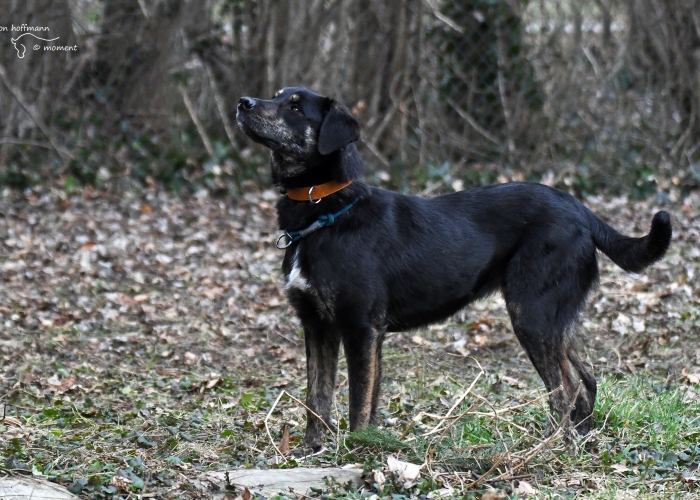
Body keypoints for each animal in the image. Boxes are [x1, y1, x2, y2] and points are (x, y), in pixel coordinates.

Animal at [237, 86, 672, 450]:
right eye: (276, 95)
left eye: (295, 107)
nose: (243, 102)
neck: (323, 212)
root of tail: (581, 209)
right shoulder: (318, 325)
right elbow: (318, 397)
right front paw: (312, 451)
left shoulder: (360, 328)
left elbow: (358, 402)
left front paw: (358, 453)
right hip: (555, 318)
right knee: (586, 380)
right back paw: (576, 441)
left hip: (532, 314)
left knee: (566, 389)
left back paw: (550, 448)